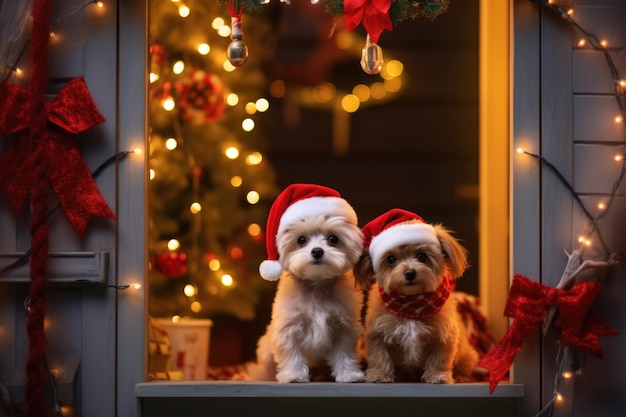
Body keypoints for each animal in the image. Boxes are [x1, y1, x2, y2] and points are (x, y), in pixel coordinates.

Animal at [249, 184, 366, 382]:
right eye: (301, 240)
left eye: (333, 239)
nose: (317, 251)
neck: (316, 285)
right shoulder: (288, 328)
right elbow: (292, 354)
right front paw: (294, 375)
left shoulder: (344, 327)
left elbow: (345, 353)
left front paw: (349, 374)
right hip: (265, 351)